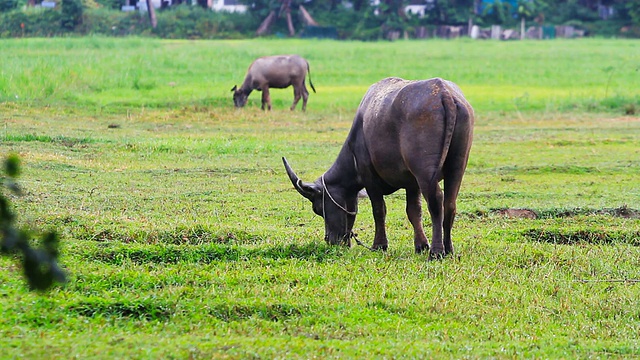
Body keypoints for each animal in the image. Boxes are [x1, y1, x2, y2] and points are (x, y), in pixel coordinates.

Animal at [284, 78, 476, 258]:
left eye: (318, 209)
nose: (331, 240)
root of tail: (444, 94)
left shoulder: (369, 178)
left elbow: (379, 209)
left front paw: (379, 245)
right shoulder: (412, 184)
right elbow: (414, 211)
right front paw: (421, 245)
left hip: (425, 171)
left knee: (436, 202)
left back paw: (436, 252)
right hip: (457, 166)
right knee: (449, 203)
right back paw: (448, 248)